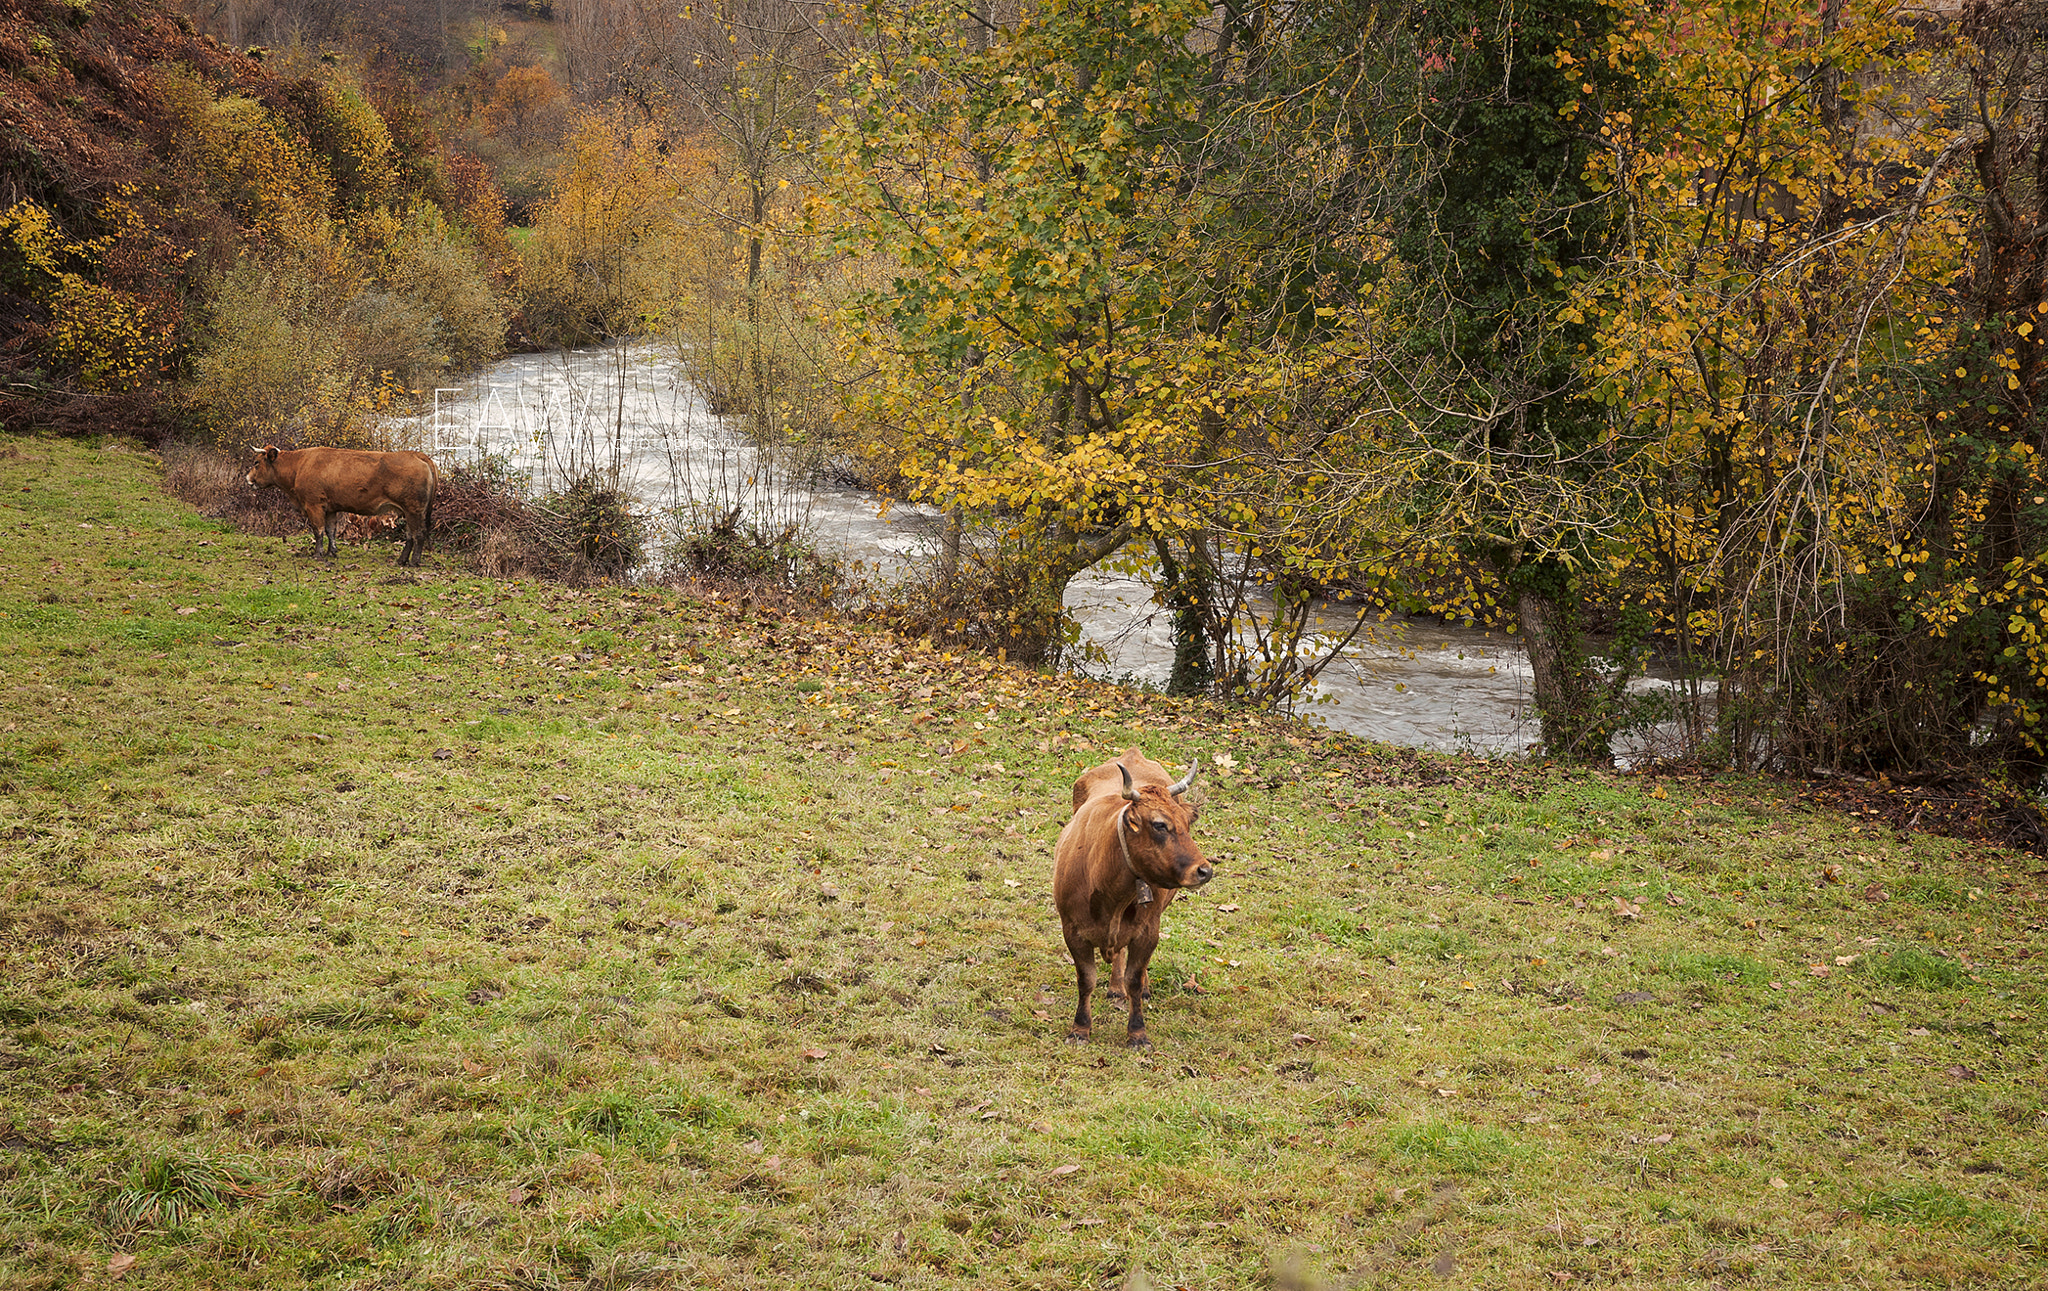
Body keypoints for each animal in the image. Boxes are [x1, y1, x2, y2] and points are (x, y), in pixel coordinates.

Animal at [247, 444, 440, 565]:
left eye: (256, 462)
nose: (248, 479)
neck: (299, 465)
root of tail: (417, 455)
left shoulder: (313, 505)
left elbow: (318, 531)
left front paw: (318, 554)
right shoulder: (331, 508)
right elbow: (330, 530)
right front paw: (332, 551)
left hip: (414, 510)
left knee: (418, 534)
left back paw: (414, 561)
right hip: (408, 511)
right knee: (410, 535)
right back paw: (402, 560)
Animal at [1056, 750, 1212, 1049]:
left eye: (1187, 824)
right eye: (1160, 825)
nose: (1204, 870)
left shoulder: (1147, 931)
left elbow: (1135, 981)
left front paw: (1137, 1034)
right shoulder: (1072, 929)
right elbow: (1086, 980)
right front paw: (1080, 1029)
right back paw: (1115, 989)